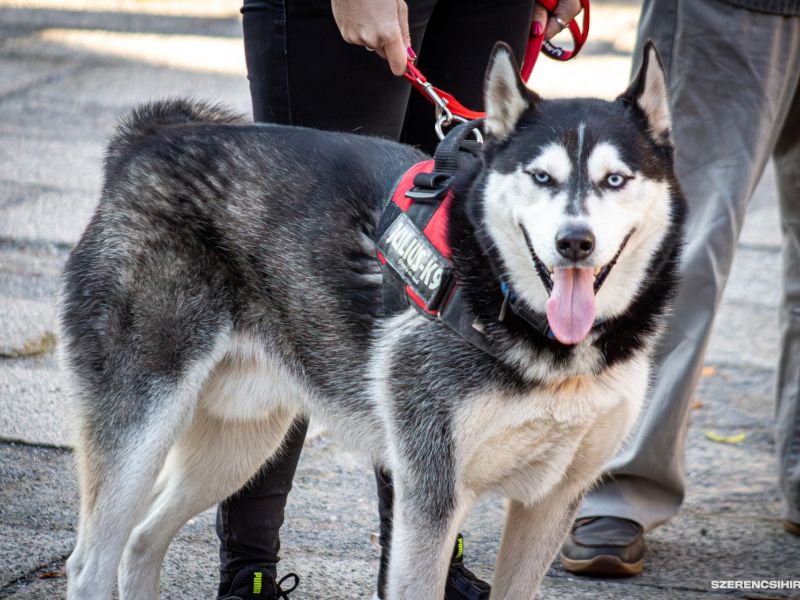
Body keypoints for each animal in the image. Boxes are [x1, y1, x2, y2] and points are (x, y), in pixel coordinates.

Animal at [61, 43, 688, 600]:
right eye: (541, 177)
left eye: (615, 179)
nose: (574, 242)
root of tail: (152, 138)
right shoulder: (430, 495)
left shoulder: (553, 499)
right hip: (143, 424)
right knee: (91, 562)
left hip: (242, 442)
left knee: (143, 541)